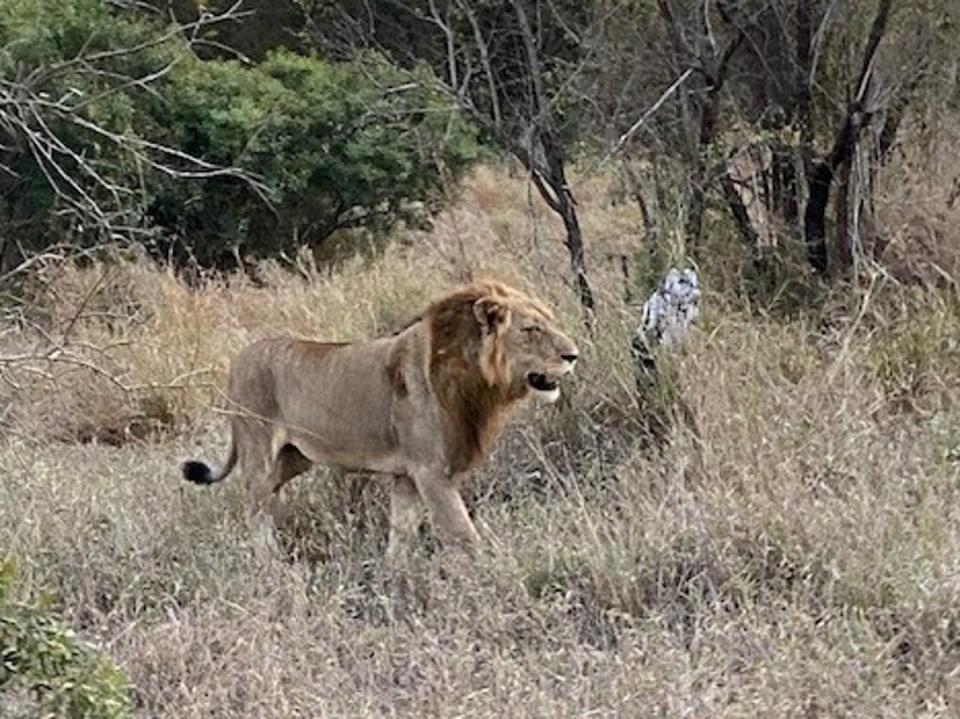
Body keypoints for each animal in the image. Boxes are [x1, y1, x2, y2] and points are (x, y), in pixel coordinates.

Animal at [184, 280, 580, 556]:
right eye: (531, 329)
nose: (573, 355)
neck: (476, 383)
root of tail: (236, 362)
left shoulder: (406, 475)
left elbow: (400, 534)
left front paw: (395, 578)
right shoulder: (431, 473)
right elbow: (463, 535)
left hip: (295, 458)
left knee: (261, 499)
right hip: (259, 452)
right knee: (255, 507)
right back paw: (270, 563)